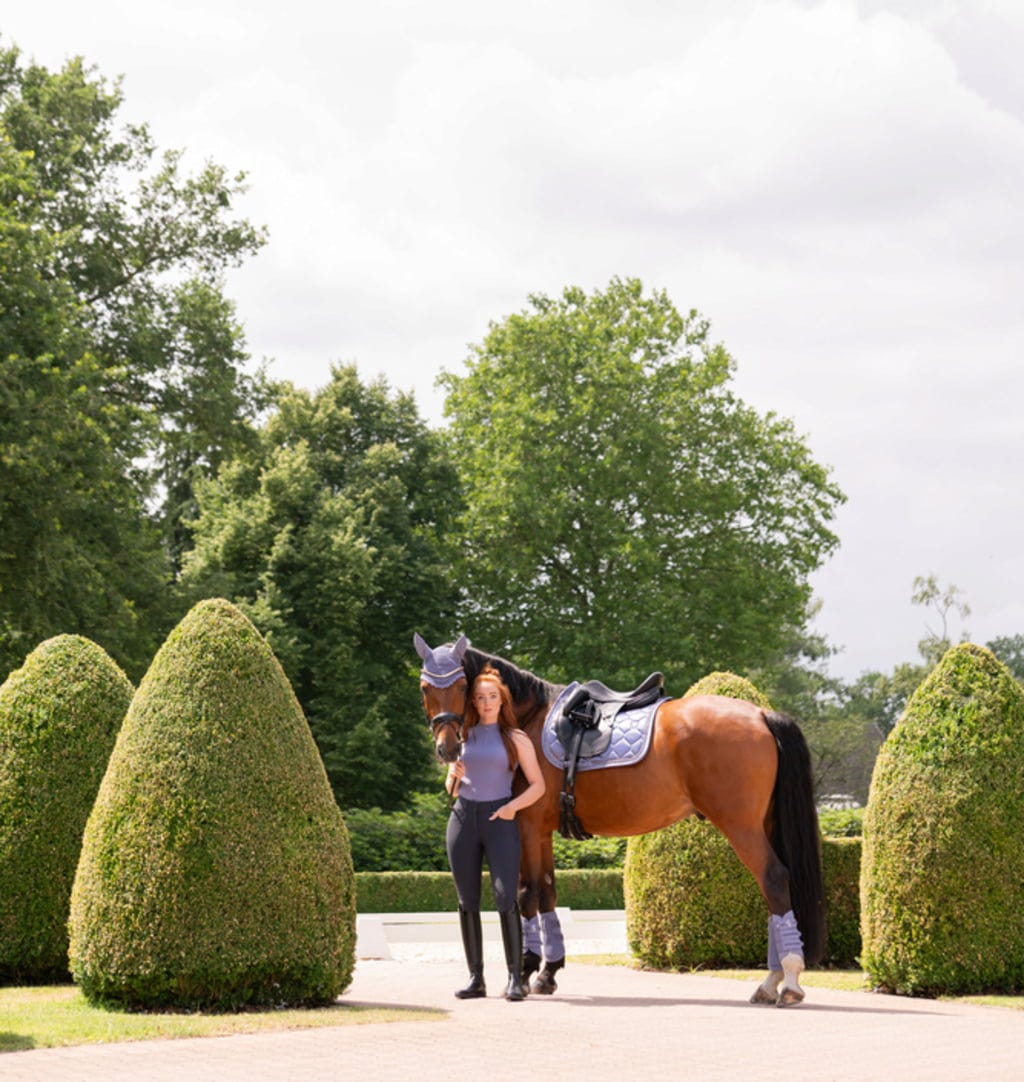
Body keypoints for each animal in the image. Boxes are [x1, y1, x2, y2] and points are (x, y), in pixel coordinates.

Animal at [415, 633, 825, 1007]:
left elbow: (526, 895)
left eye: (463, 685)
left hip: (741, 826)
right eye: (425, 687)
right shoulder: (542, 832)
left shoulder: (525, 825)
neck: (526, 720)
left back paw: (785, 982)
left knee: (773, 879)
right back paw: (773, 981)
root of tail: (760, 714)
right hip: (764, 823)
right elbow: (547, 892)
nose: (447, 748)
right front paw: (548, 974)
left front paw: (527, 972)